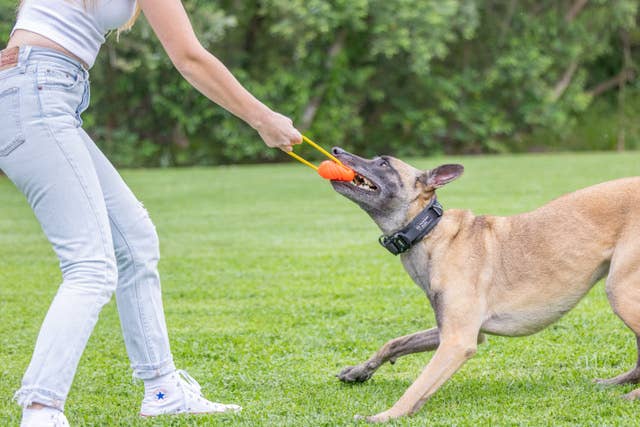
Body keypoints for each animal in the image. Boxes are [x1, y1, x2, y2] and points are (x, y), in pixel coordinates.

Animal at [330, 149, 640, 422]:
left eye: (383, 163)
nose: (336, 150)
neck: (431, 232)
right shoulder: (457, 330)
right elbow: (395, 342)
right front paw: (359, 371)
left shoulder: (458, 342)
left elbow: (416, 387)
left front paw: (384, 415)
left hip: (620, 292)